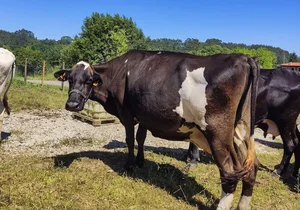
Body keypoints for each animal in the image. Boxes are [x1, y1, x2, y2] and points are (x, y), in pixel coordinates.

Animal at [54, 50, 260, 209]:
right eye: (70, 79)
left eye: (89, 80)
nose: (72, 104)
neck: (118, 72)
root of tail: (243, 57)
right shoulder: (145, 114)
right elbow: (141, 138)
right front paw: (140, 161)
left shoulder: (127, 113)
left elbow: (130, 139)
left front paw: (129, 165)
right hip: (240, 132)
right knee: (251, 167)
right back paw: (244, 205)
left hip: (218, 133)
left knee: (230, 172)